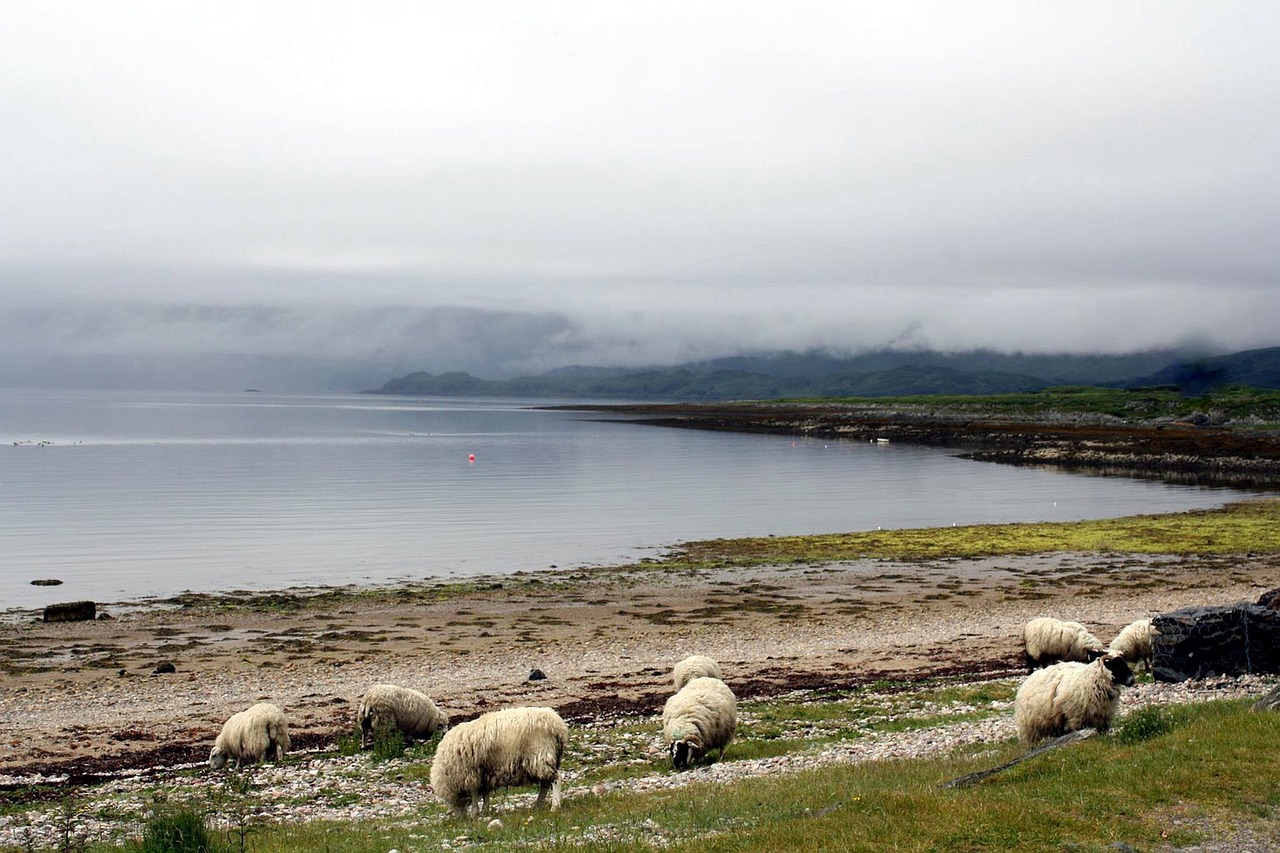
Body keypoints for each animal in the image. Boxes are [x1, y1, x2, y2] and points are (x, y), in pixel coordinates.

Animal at [427, 701, 568, 819]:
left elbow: (475, 793)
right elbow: (485, 793)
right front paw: (485, 810)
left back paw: (555, 806)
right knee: (545, 784)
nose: (459, 818)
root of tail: (558, 725)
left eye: (450, 801)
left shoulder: (471, 773)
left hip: (540, 756)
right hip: (542, 760)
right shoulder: (483, 773)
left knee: (556, 779)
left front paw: (474, 813)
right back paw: (538, 806)